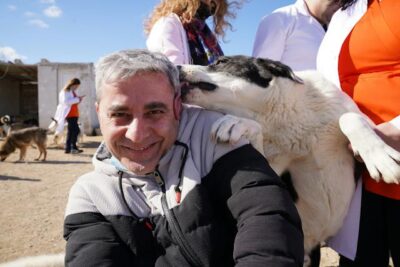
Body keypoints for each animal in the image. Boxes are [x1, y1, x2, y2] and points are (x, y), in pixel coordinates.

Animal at [178, 55, 400, 262]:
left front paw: (381, 159)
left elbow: (350, 118)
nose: (176, 66)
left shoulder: (360, 122)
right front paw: (238, 123)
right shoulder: (273, 170)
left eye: (221, 62)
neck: (283, 116)